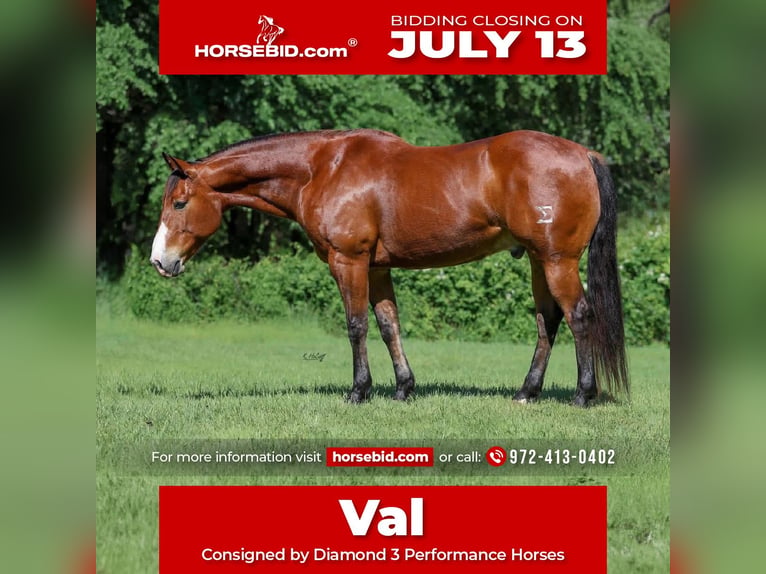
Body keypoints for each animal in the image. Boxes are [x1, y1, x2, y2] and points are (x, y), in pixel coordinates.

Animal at [150, 129, 629, 406]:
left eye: (180, 203)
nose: (160, 261)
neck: (322, 169)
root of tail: (583, 154)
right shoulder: (378, 268)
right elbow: (388, 325)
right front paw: (403, 387)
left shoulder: (349, 261)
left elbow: (356, 325)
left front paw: (358, 391)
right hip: (537, 259)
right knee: (548, 321)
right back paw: (526, 392)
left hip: (557, 260)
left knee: (578, 316)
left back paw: (584, 395)